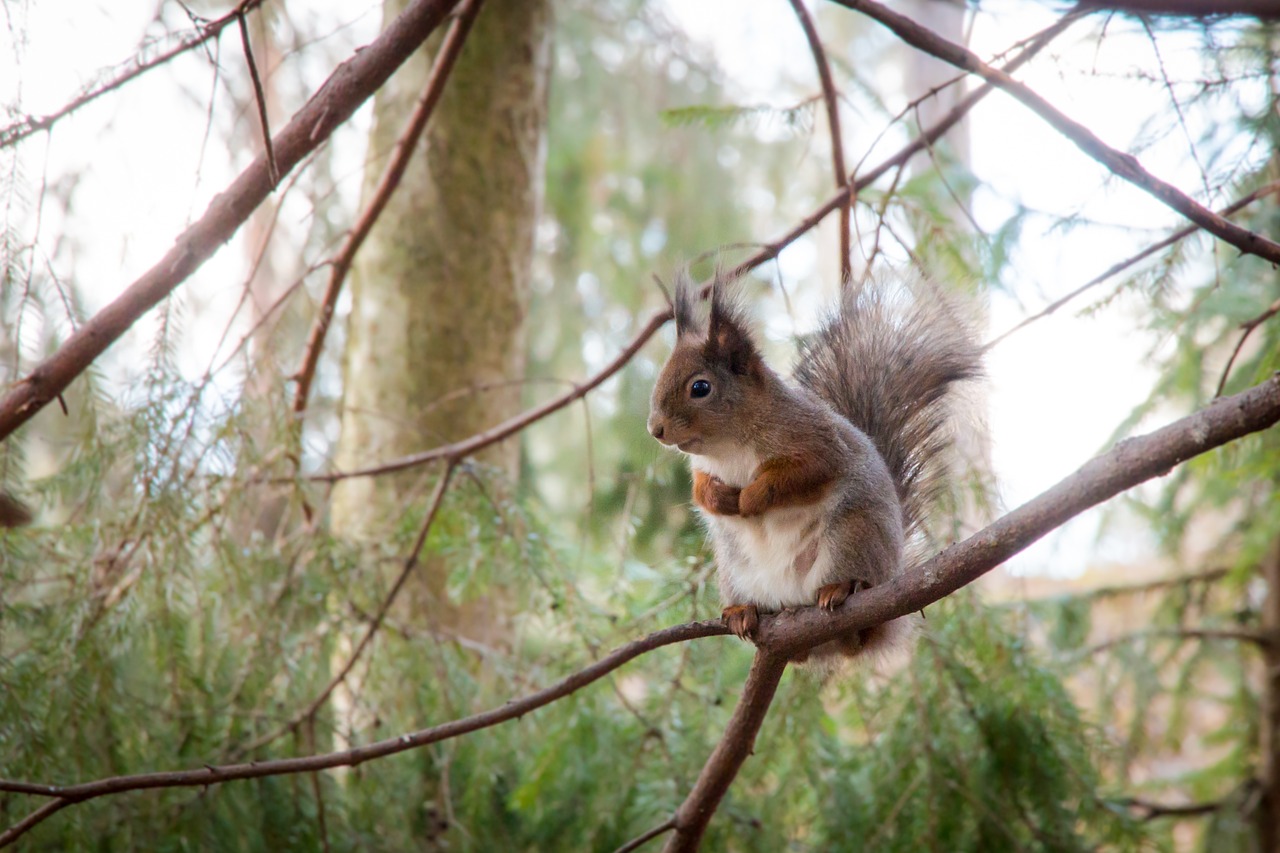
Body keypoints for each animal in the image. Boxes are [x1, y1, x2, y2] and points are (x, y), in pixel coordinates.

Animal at [645, 268, 983, 660]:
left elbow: (799, 475)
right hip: (734, 571)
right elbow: (699, 489)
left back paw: (841, 590)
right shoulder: (702, 467)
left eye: (700, 388)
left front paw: (751, 497)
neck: (728, 446)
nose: (655, 430)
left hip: (851, 536)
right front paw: (718, 498)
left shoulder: (818, 443)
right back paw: (742, 611)